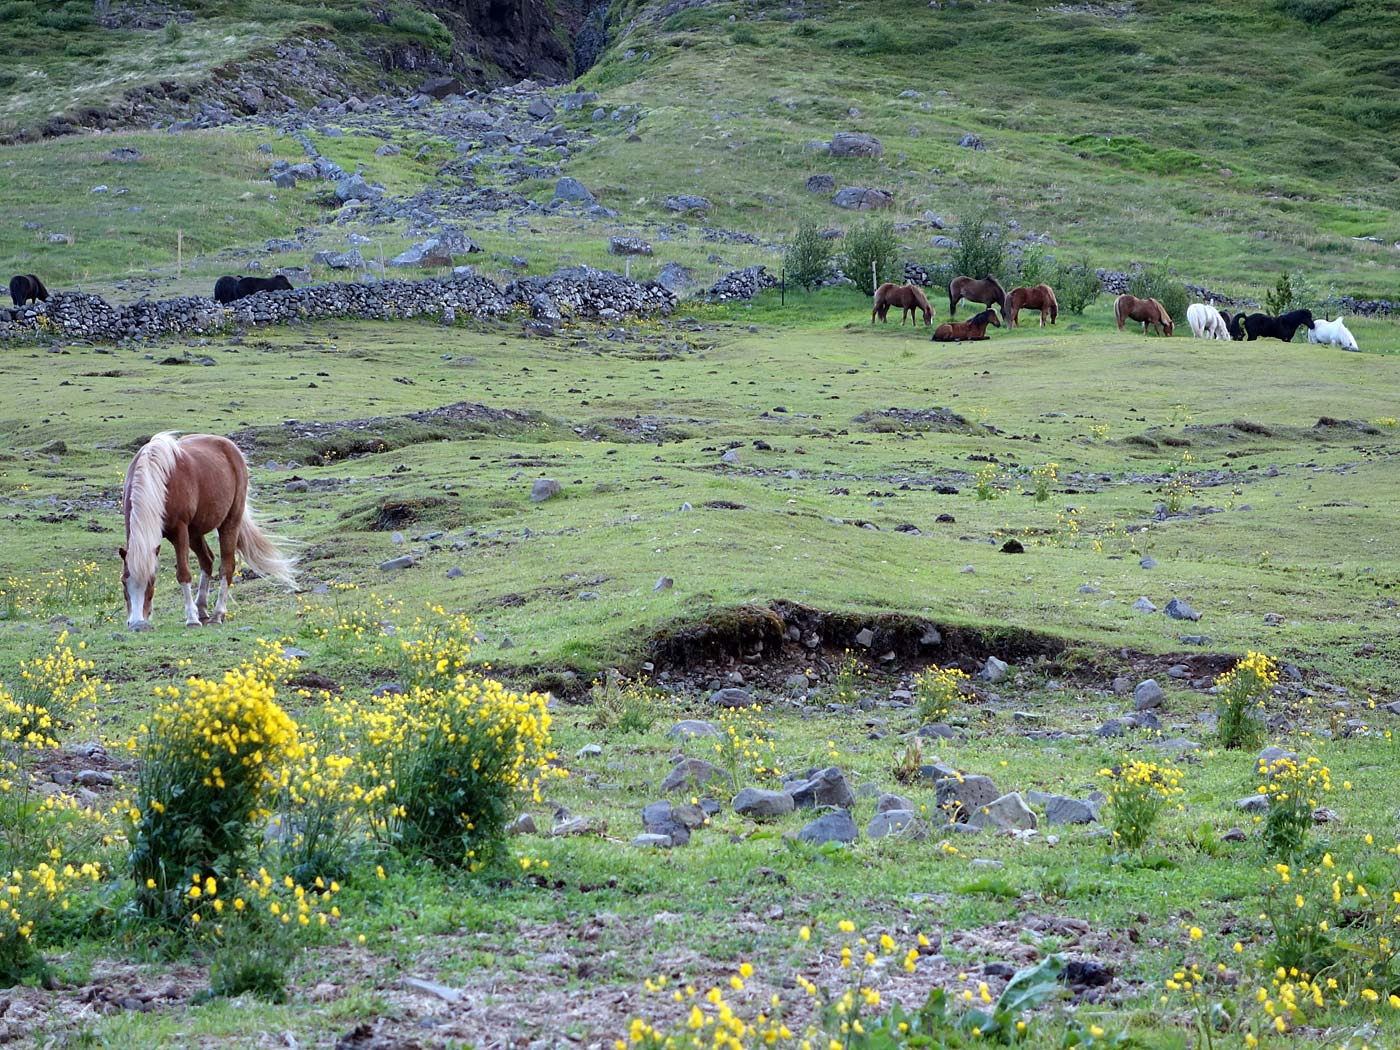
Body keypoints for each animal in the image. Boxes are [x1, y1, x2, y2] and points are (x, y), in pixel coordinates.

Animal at [121, 431, 298, 630]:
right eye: (123, 582)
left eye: (151, 582)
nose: (137, 624)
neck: (157, 479)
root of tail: (231, 448)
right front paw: (195, 615)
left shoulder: (180, 531)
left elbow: (183, 574)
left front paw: (191, 619)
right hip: (195, 532)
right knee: (207, 560)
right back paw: (202, 610)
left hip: (229, 522)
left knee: (226, 567)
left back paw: (216, 615)